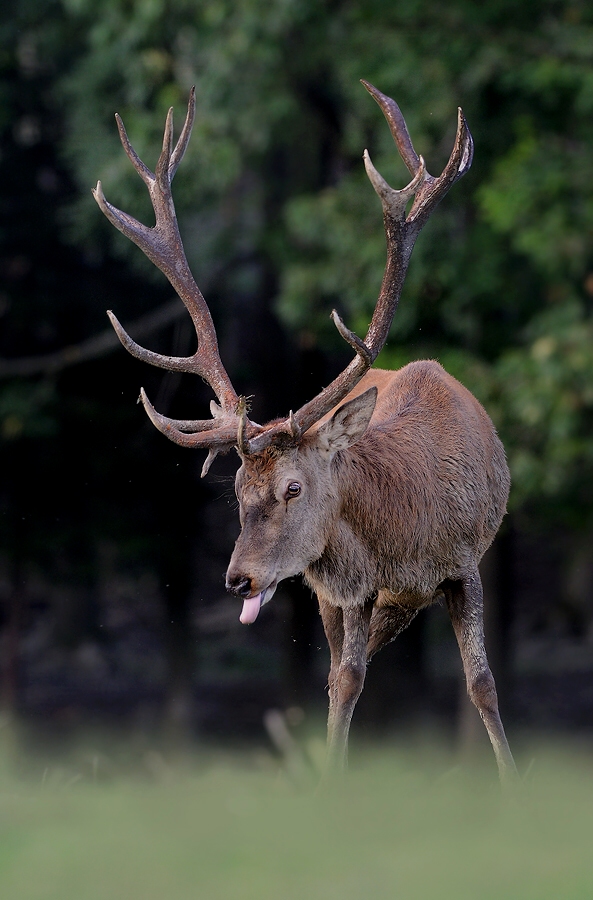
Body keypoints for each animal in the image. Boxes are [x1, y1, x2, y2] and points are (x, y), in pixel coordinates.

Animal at [93, 80, 518, 788]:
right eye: (236, 488)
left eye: (294, 488)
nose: (238, 580)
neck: (408, 540)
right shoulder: (348, 591)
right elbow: (342, 683)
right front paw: (330, 782)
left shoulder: (465, 566)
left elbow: (482, 684)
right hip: (335, 596)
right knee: (339, 675)